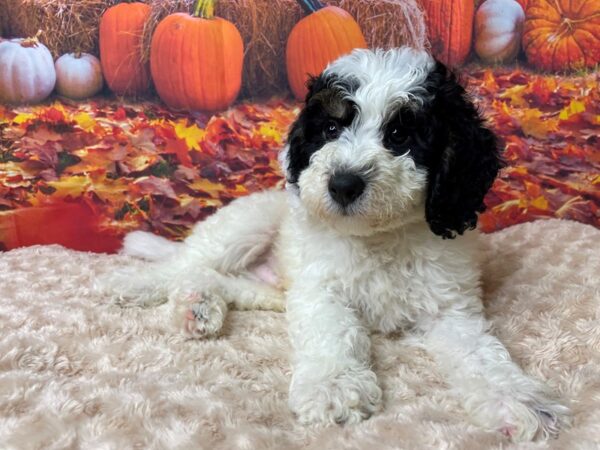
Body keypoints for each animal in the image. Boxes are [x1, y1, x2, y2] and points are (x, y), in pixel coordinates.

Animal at [97, 47, 568, 442]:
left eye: (400, 135)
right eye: (329, 128)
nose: (342, 184)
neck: (378, 237)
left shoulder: (451, 307)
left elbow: (483, 355)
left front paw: (521, 402)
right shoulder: (321, 290)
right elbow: (334, 335)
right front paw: (334, 389)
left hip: (272, 288)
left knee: (218, 279)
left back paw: (198, 306)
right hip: (247, 223)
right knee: (185, 262)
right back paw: (135, 285)